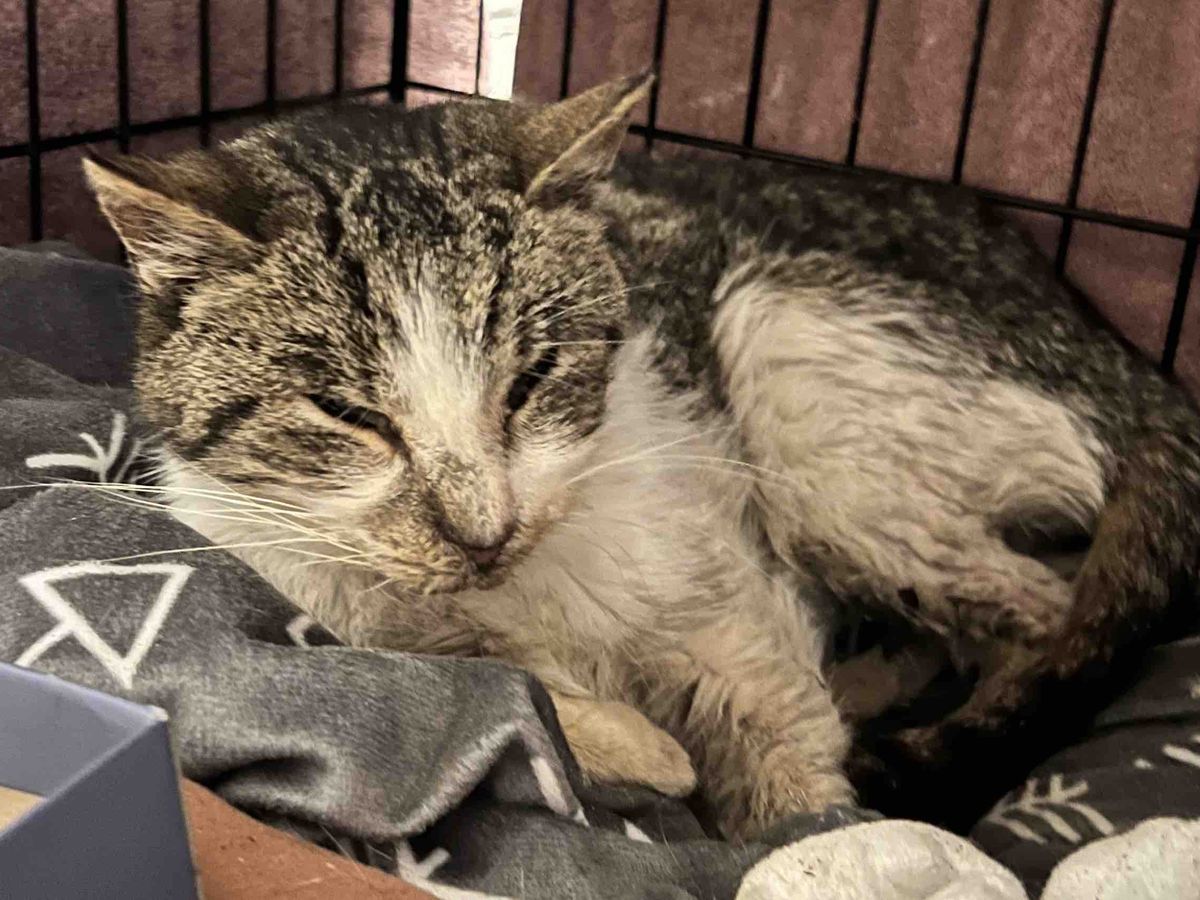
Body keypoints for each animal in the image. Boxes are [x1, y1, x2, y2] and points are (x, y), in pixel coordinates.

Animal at [84, 73, 1200, 839]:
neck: (508, 597)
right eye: (346, 413)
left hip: (791, 363)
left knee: (1042, 610)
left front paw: (799, 837)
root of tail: (1126, 359)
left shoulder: (732, 609)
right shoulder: (283, 572)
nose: (483, 531)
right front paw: (634, 740)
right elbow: (483, 689)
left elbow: (784, 756)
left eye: (533, 377)